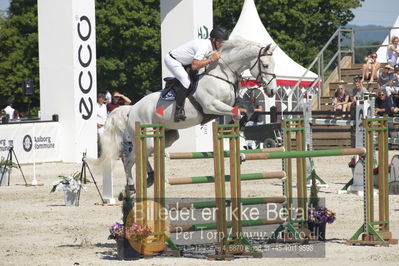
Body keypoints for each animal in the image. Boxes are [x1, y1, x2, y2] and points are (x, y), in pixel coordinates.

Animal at [97, 38, 278, 190]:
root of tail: (132, 109)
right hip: (145, 134)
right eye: (265, 65)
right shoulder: (211, 106)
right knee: (129, 160)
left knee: (145, 154)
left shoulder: (233, 102)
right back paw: (132, 187)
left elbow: (248, 108)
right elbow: (235, 113)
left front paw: (240, 141)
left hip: (166, 136)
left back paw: (151, 177)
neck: (222, 74)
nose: (272, 91)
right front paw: (232, 132)